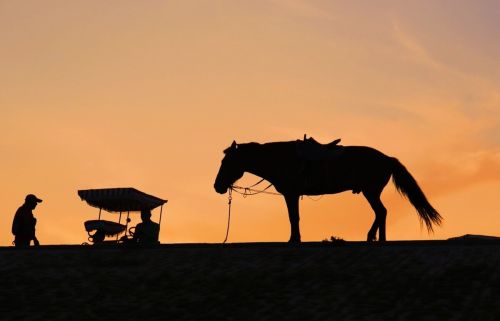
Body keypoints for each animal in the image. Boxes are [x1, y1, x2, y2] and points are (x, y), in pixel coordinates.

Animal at [213, 138, 440, 242]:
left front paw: (294, 239)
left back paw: (373, 237)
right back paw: (377, 238)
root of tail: (387, 158)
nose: (217, 186)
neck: (281, 159)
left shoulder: (291, 194)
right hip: (371, 192)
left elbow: (293, 217)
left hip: (371, 191)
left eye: (226, 162)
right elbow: (294, 217)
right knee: (381, 213)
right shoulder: (292, 194)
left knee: (381, 212)